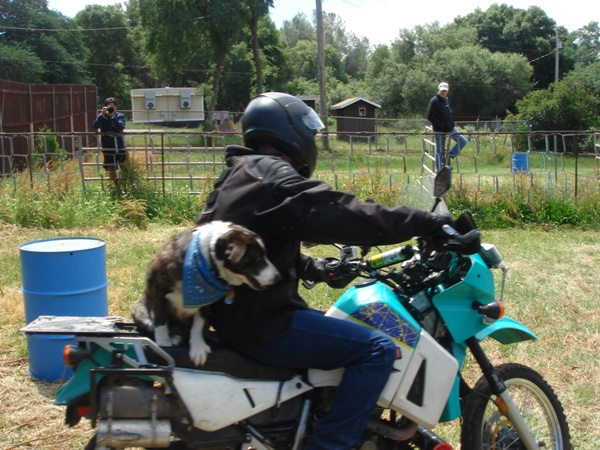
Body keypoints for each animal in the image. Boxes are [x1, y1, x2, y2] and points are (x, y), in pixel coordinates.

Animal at [131, 221, 280, 366]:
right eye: (258, 258)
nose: (278, 277)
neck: (209, 256)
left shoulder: (206, 302)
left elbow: (198, 325)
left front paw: (198, 347)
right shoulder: (157, 290)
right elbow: (160, 318)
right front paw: (163, 341)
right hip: (139, 309)